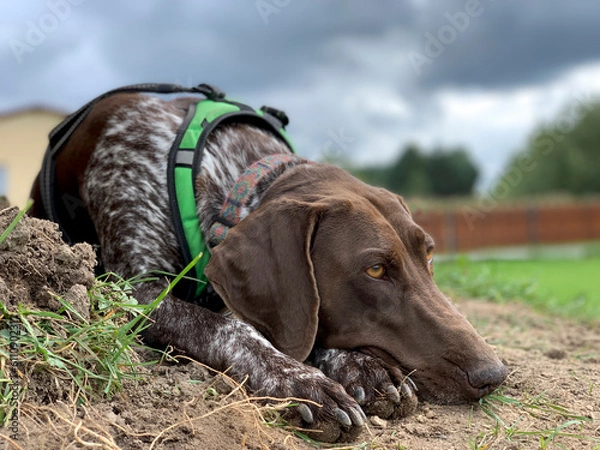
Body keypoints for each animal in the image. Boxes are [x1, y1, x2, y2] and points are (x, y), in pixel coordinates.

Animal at [28, 85, 506, 442]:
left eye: (428, 254)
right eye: (375, 269)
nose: (494, 374)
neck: (227, 173)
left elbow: (298, 326)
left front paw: (361, 367)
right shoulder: (134, 292)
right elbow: (230, 328)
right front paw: (301, 383)